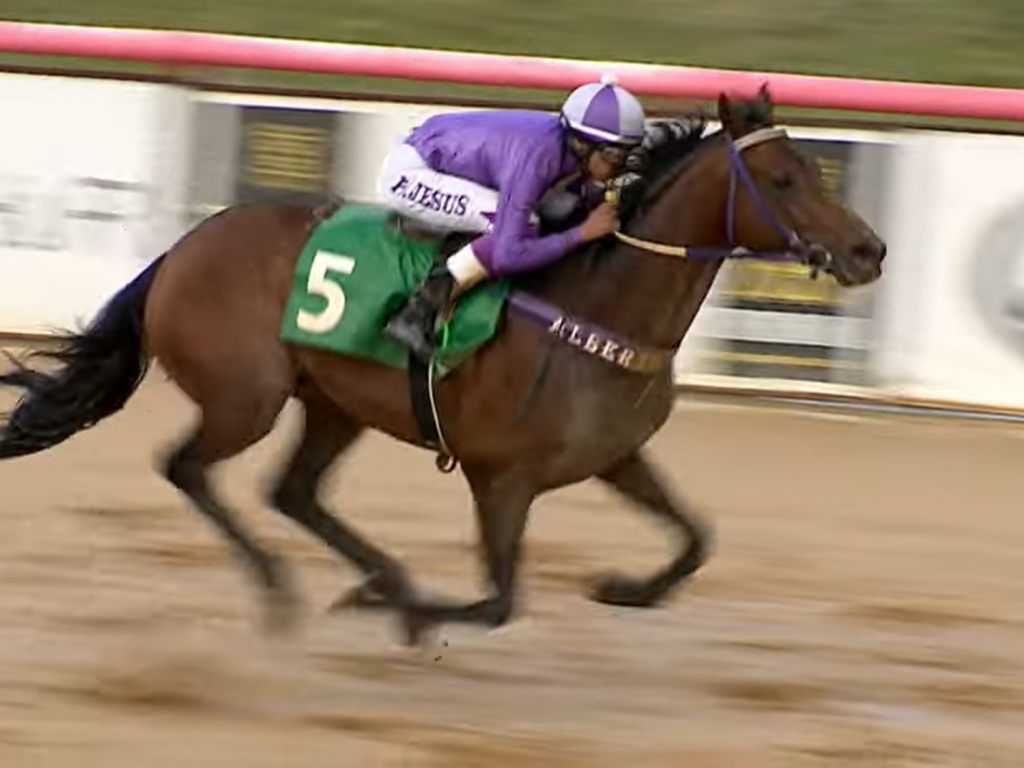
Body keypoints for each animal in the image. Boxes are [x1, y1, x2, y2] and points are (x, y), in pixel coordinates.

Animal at [0, 87, 884, 647]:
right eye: (783, 179)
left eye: (817, 167)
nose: (868, 250)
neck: (602, 306)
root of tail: (182, 248)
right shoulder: (502, 478)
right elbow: (498, 601)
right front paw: (413, 612)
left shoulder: (617, 454)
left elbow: (695, 539)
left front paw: (625, 589)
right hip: (246, 398)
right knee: (187, 467)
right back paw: (304, 590)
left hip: (332, 402)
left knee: (293, 491)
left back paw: (381, 579)